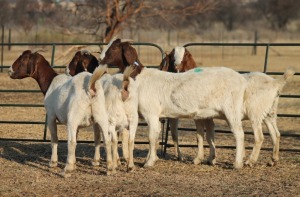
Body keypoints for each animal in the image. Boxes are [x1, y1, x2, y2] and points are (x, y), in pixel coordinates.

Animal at [9, 49, 115, 177]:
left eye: (23, 59)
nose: (9, 70)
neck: (50, 82)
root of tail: (90, 87)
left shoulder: (51, 115)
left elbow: (54, 138)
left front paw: (53, 162)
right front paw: (74, 163)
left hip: (73, 118)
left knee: (72, 142)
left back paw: (66, 170)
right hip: (101, 115)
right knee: (106, 140)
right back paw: (110, 169)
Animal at [163, 46, 294, 166]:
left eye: (186, 55)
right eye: (172, 55)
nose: (177, 66)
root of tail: (276, 83)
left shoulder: (201, 116)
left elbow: (200, 135)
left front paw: (199, 159)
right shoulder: (207, 116)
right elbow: (209, 135)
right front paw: (211, 158)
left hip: (254, 113)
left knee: (259, 137)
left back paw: (250, 161)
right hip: (269, 113)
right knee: (276, 134)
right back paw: (273, 160)